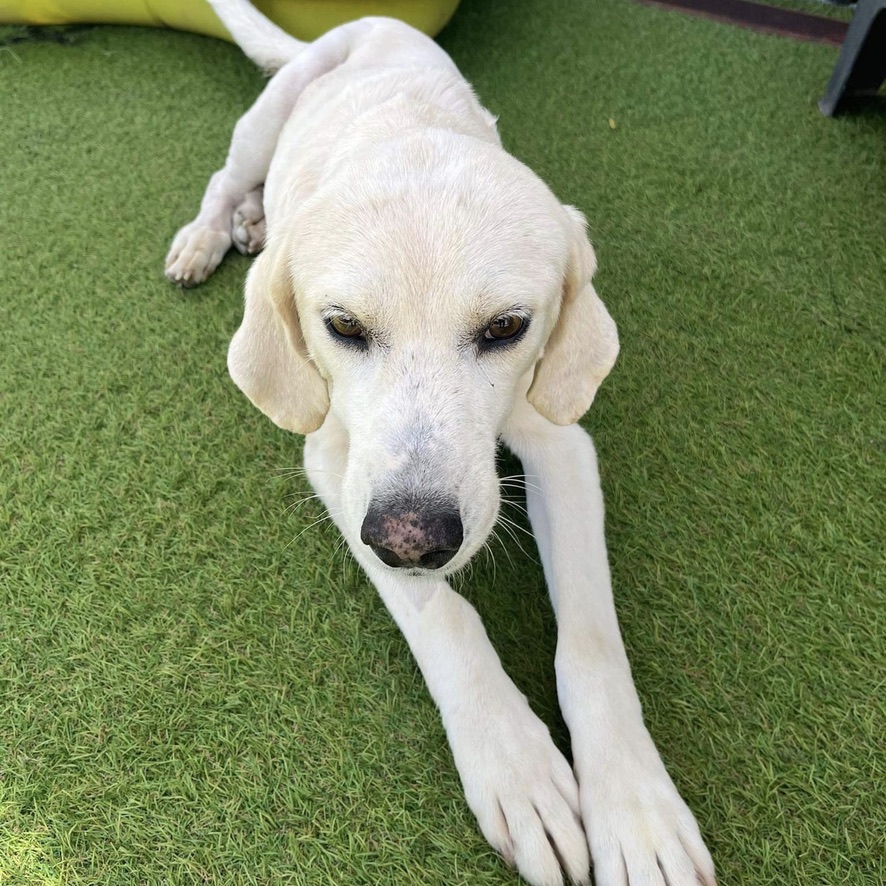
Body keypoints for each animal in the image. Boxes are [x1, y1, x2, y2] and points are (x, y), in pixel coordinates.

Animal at [166, 3, 720, 884]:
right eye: (342, 326)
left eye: (506, 328)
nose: (414, 539)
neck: (408, 131)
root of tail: (376, 21)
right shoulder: (338, 464)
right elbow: (443, 616)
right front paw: (517, 768)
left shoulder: (560, 443)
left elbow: (591, 640)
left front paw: (636, 811)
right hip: (266, 115)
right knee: (226, 172)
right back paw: (208, 233)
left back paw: (253, 222)